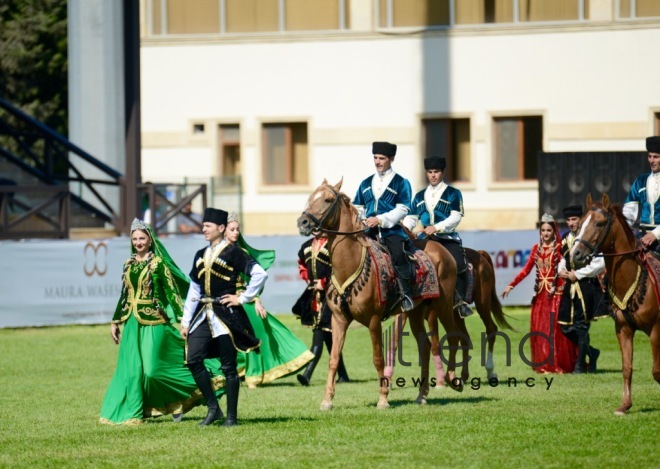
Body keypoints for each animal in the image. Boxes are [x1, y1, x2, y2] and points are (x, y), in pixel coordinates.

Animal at [296, 179, 462, 410]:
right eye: (311, 197)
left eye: (328, 199)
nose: (303, 222)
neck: (350, 263)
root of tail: (442, 250)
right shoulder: (338, 320)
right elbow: (334, 358)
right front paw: (327, 401)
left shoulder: (374, 320)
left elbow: (377, 358)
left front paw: (383, 398)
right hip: (415, 312)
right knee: (425, 347)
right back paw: (422, 395)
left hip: (443, 305)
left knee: (452, 338)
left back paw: (453, 380)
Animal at [568, 193, 656, 414]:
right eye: (581, 223)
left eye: (599, 223)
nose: (576, 254)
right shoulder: (623, 329)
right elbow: (627, 367)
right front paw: (624, 405)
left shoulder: (655, 329)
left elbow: (657, 370)